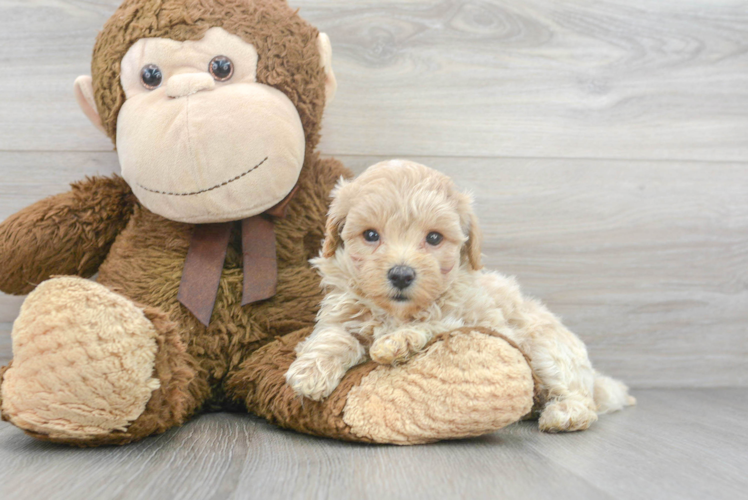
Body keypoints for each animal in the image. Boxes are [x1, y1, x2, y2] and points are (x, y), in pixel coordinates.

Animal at [284, 159, 636, 430]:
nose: (401, 274)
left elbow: (441, 322)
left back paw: (563, 415)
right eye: (370, 235)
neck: (396, 312)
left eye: (434, 238)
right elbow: (334, 336)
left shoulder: (486, 322)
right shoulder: (341, 312)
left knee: (580, 397)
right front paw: (309, 372)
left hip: (548, 351)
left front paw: (397, 340)